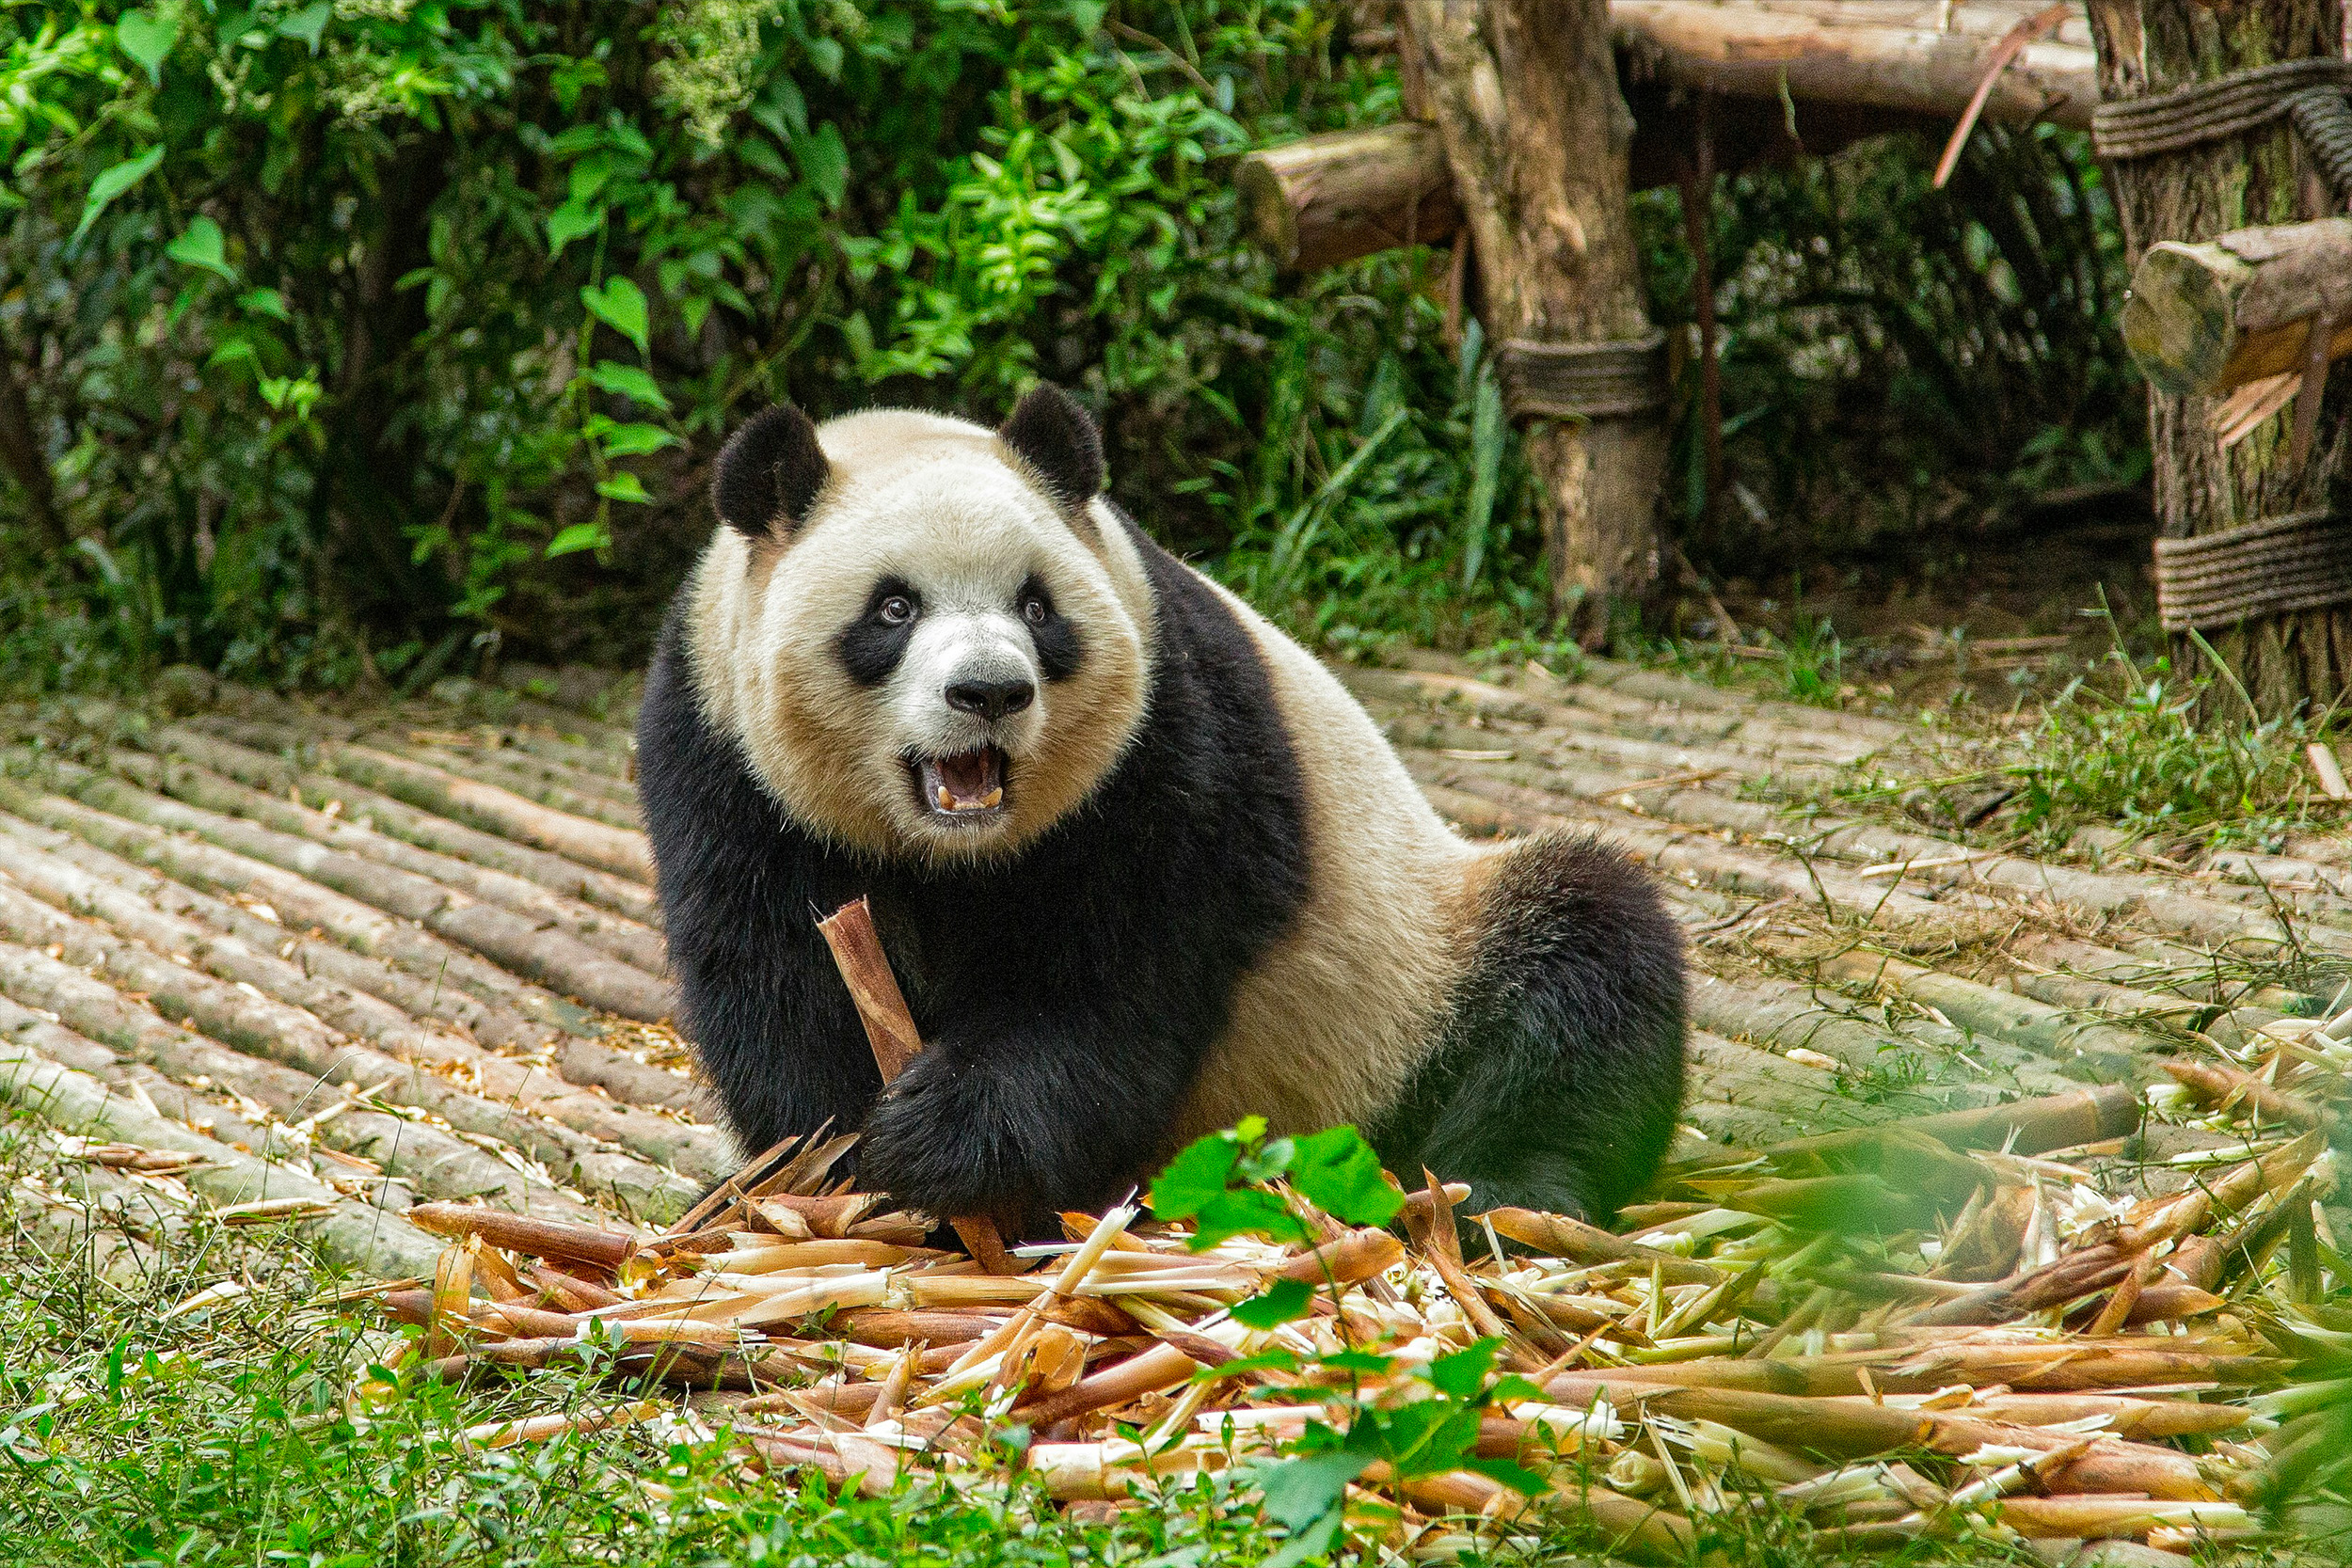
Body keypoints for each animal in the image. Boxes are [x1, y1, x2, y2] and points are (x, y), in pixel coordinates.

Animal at [635, 383, 1684, 1241]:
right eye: (893, 608)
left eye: (1037, 607)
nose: (990, 691)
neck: (954, 851)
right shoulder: (721, 755)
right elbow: (773, 971)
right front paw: (834, 1168)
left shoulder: (1168, 744)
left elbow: (1117, 983)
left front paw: (940, 1137)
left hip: (1415, 975)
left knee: (1583, 969)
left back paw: (1507, 1195)